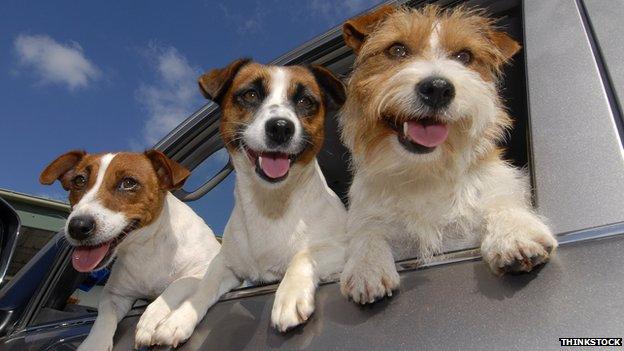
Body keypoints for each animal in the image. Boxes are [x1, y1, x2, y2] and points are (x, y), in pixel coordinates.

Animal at [38, 150, 219, 350]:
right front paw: (93, 344)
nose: (77, 227)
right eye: (79, 180)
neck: (146, 246)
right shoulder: (115, 296)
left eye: (128, 182)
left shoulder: (204, 268)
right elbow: (104, 319)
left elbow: (177, 285)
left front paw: (152, 319)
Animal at [146, 60, 348, 346]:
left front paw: (289, 296)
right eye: (251, 94)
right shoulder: (227, 266)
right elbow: (204, 287)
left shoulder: (347, 248)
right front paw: (179, 319)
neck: (270, 204)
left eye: (305, 100)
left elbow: (303, 254)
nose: (280, 127)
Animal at [338, 4, 560, 304]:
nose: (438, 88)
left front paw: (515, 234)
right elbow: (368, 231)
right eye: (397, 50)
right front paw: (367, 266)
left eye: (464, 56)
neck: (425, 171)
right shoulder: (369, 215)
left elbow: (501, 202)